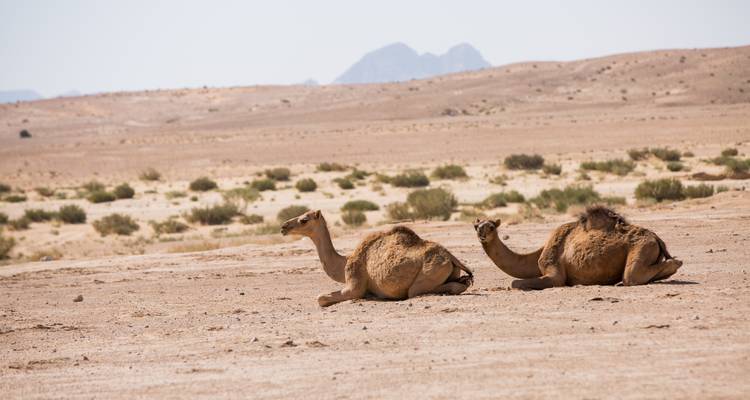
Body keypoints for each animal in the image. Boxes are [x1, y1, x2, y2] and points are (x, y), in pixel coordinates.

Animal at [280, 210, 473, 306]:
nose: (283, 226)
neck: (344, 263)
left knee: (416, 291)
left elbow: (321, 298)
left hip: (428, 274)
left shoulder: (355, 283)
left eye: (304, 220)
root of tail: (451, 257)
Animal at [473, 205, 683, 289]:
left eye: (491, 227)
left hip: (642, 246)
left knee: (632, 276)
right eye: (477, 226)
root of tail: (656, 238)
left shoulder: (554, 274)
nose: (481, 234)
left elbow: (516, 283)